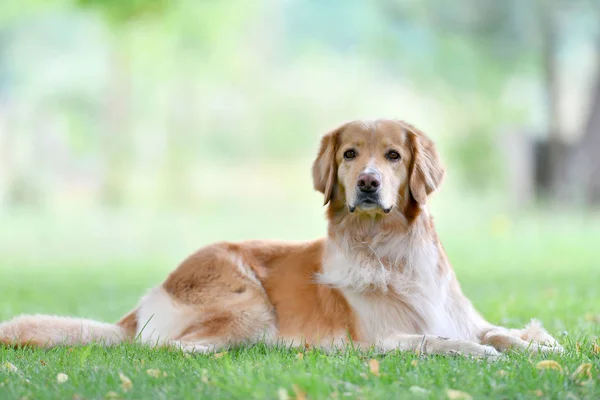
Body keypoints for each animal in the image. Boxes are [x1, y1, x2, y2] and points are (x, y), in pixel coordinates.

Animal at [0, 119, 564, 356]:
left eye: (393, 156)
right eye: (350, 154)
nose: (368, 183)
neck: (390, 252)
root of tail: (140, 307)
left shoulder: (462, 315)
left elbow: (502, 333)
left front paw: (540, 346)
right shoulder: (384, 337)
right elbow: (439, 341)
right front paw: (482, 355)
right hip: (247, 299)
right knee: (174, 348)